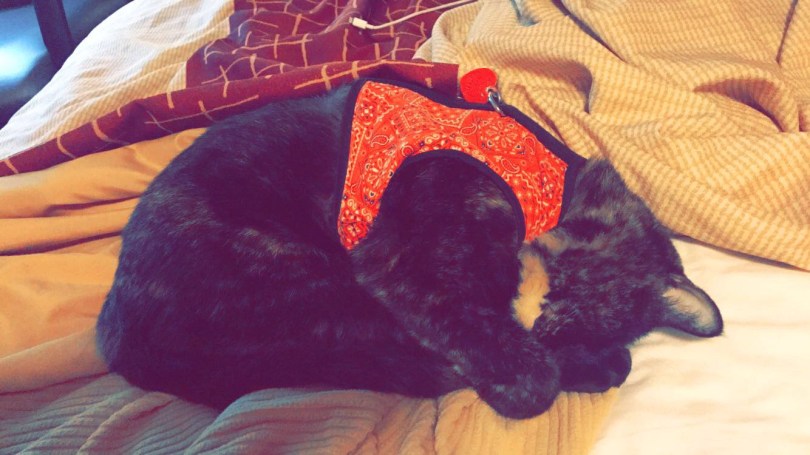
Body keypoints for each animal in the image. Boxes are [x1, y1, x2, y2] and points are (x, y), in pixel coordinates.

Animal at [96, 79, 723, 420]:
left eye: (563, 320)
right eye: (554, 287)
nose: (526, 319)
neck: (551, 181)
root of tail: (114, 337)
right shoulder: (403, 267)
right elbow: (523, 373)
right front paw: (535, 375)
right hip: (310, 282)